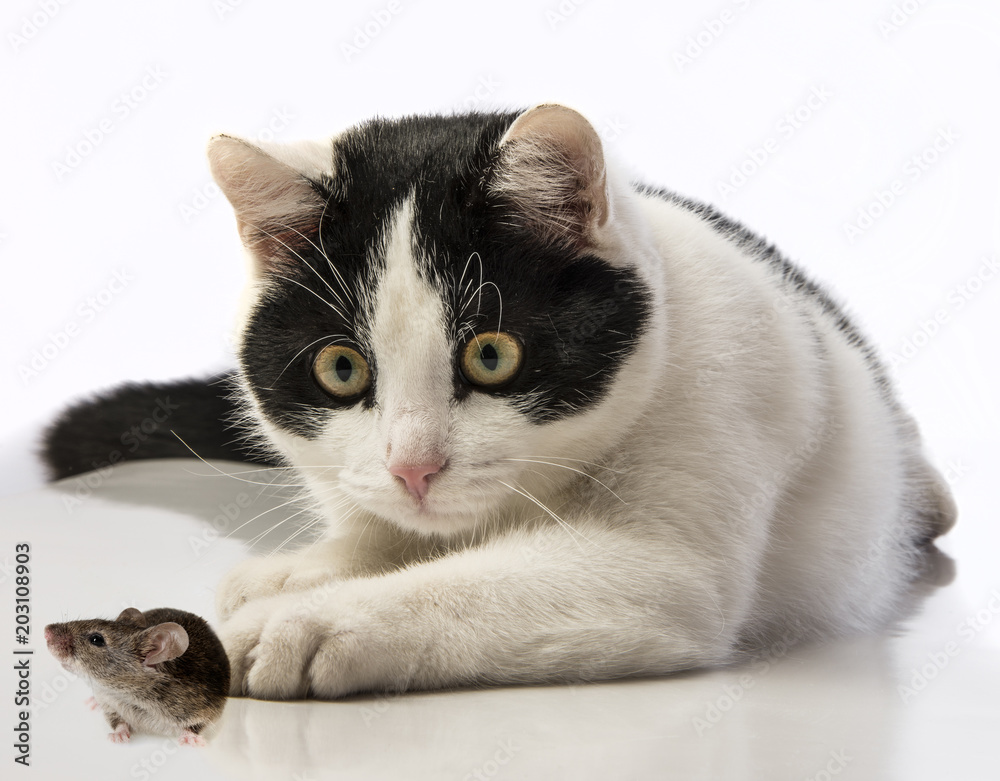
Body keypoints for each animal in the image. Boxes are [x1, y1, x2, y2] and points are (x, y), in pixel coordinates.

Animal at [43, 105, 956, 700]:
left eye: (492, 355)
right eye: (341, 369)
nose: (414, 467)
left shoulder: (722, 400)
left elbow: (509, 581)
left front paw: (303, 622)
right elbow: (378, 532)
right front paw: (311, 565)